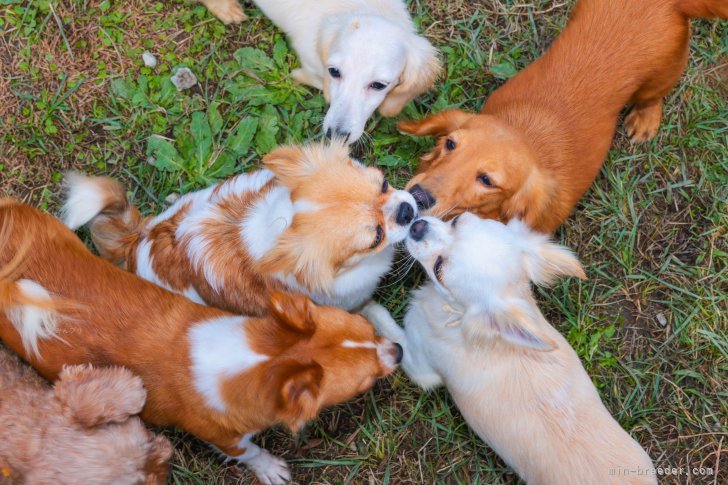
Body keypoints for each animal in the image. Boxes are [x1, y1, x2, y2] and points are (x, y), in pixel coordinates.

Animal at [366, 215, 656, 484]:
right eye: (457, 220)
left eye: (438, 269)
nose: (417, 226)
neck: (458, 315)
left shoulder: (420, 364)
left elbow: (394, 335)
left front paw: (367, 309)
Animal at [400, 0, 724, 233]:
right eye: (450, 144)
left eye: (487, 180)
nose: (418, 196)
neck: (525, 130)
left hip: (662, 74)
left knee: (653, 96)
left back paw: (645, 119)